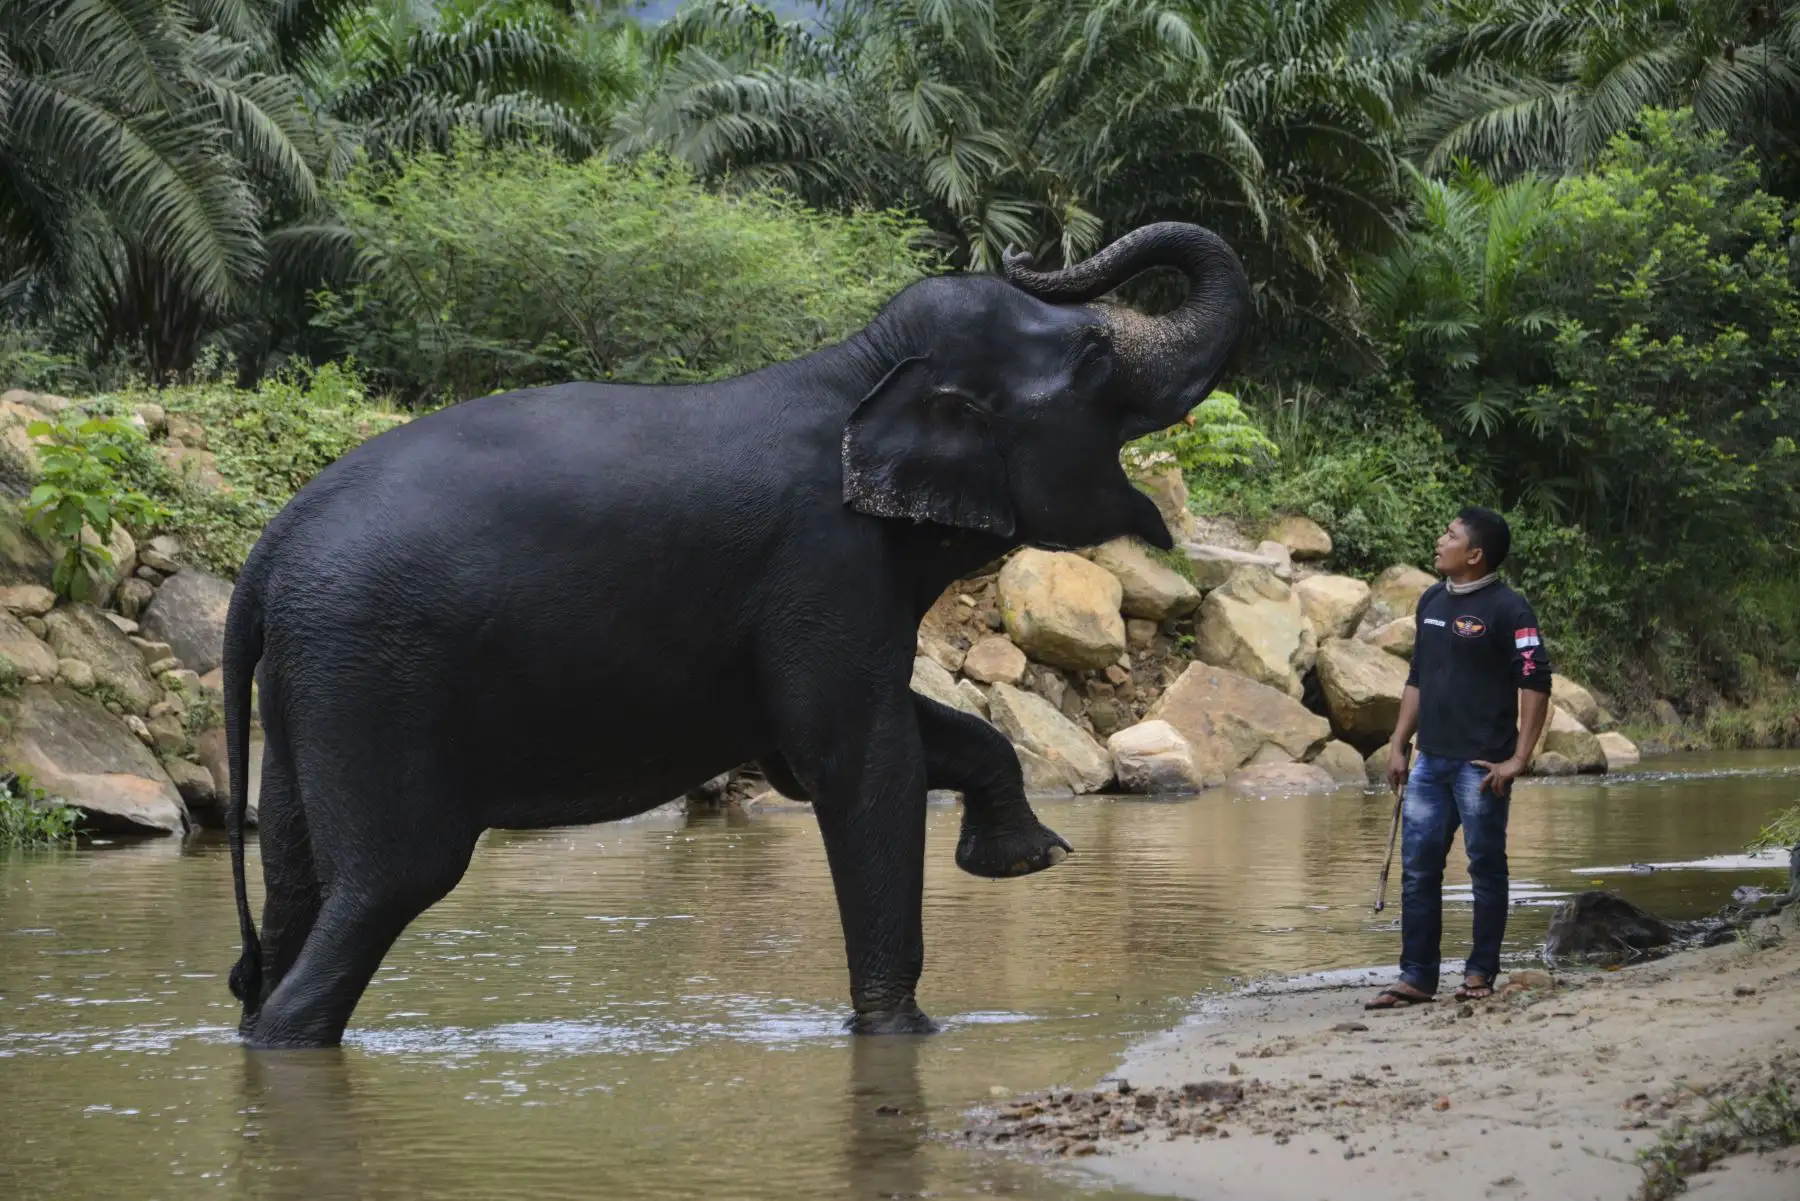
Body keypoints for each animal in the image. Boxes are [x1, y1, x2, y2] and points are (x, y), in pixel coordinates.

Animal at [221, 220, 1250, 1048]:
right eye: (1094, 358)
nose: (1028, 248)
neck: (858, 367)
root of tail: (264, 556)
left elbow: (848, 746)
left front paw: (1027, 857)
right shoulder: (823, 564)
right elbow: (860, 761)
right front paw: (904, 1031)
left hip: (310, 685)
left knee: (295, 882)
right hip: (373, 677)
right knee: (393, 881)